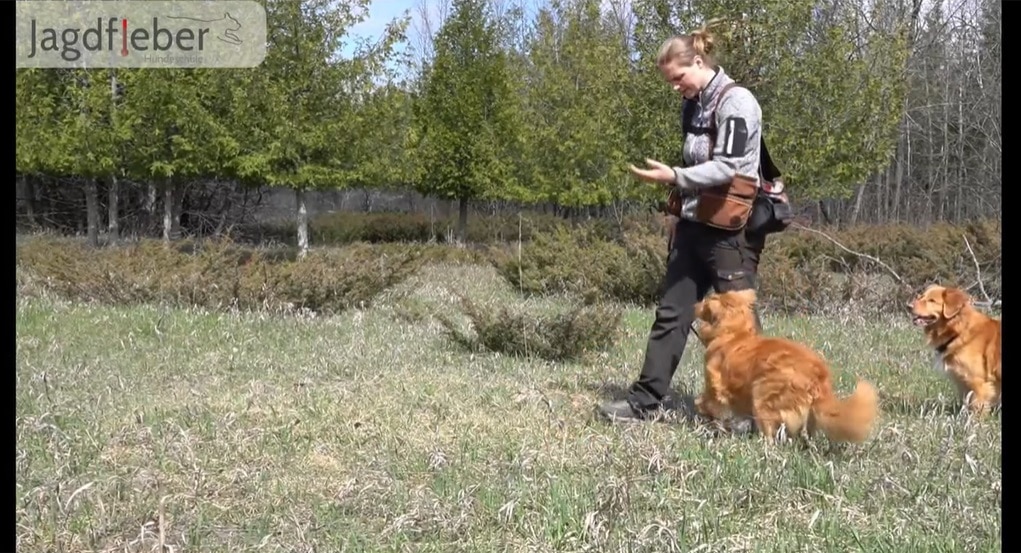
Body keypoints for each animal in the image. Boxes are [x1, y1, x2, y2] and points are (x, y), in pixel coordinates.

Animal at [690, 289, 882, 446]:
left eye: (707, 301)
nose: (694, 304)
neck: (734, 333)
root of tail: (818, 374)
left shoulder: (716, 386)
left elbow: (708, 400)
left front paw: (701, 410)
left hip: (762, 399)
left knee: (769, 434)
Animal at [906, 285, 1000, 416]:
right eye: (921, 296)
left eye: (931, 300)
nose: (908, 306)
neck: (960, 331)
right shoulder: (963, 382)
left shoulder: (979, 384)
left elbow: (977, 409)